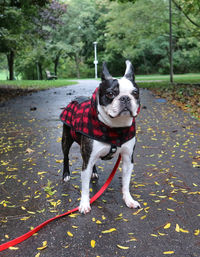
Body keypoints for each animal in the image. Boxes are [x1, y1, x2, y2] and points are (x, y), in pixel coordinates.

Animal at [60, 59, 141, 212]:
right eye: (110, 94)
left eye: (135, 93)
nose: (125, 98)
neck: (115, 128)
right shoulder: (86, 160)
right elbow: (85, 186)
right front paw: (84, 203)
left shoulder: (128, 159)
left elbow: (126, 182)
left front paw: (128, 199)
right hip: (66, 140)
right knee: (66, 157)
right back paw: (66, 174)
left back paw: (94, 172)